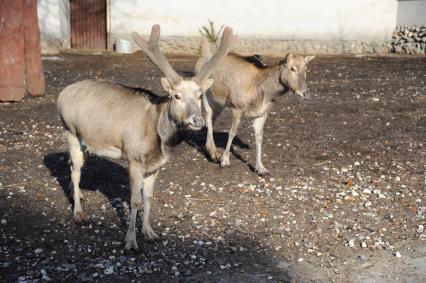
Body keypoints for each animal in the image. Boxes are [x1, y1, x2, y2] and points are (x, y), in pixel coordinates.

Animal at [56, 24, 233, 251]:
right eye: (176, 96)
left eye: (200, 95)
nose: (197, 120)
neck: (158, 142)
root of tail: (62, 94)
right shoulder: (133, 158)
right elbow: (135, 200)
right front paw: (131, 242)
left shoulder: (156, 165)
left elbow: (148, 197)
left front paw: (149, 232)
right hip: (69, 129)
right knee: (76, 169)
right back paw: (78, 213)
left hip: (85, 141)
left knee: (72, 165)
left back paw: (78, 195)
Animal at [196, 38, 312, 176]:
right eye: (292, 68)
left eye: (306, 69)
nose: (305, 93)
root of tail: (200, 60)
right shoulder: (236, 107)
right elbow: (232, 132)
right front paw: (225, 161)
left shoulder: (262, 113)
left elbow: (259, 137)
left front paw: (261, 168)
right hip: (207, 96)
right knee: (208, 117)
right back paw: (214, 153)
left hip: (220, 103)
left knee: (212, 119)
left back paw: (212, 151)